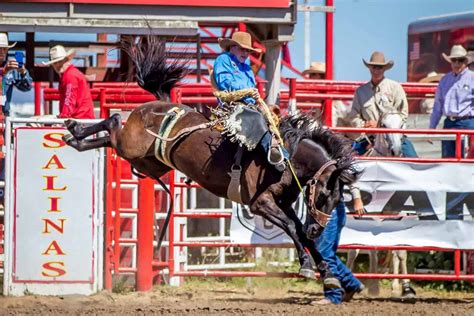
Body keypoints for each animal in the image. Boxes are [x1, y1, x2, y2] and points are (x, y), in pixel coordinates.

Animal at [64, 35, 360, 288]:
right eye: (323, 195)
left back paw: (75, 139)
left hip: (148, 162)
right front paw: (308, 265)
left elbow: (298, 229)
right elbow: (291, 228)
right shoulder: (260, 203)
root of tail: (155, 105)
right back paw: (74, 128)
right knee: (113, 121)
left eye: (338, 199)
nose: (318, 227)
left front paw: (327, 272)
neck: (285, 157)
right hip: (131, 145)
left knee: (109, 138)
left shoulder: (283, 204)